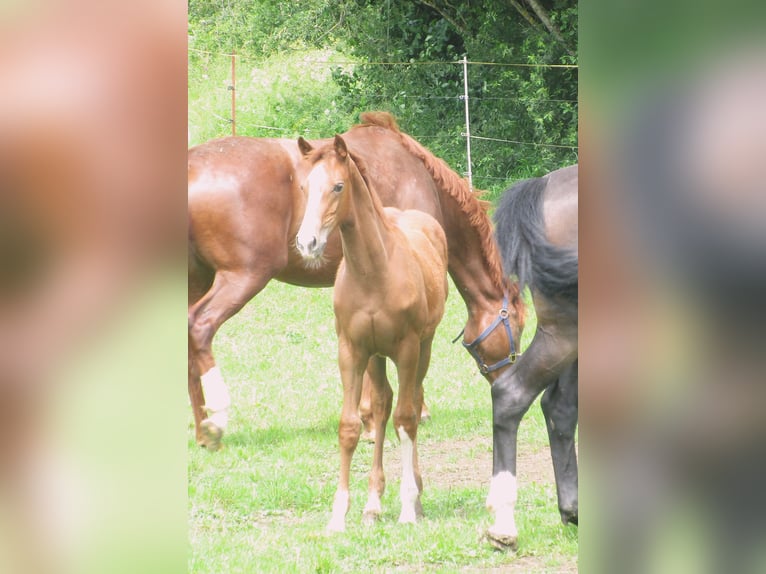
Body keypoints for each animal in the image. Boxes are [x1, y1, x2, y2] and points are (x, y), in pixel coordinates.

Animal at [190, 112, 528, 452]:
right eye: (518, 326)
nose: (511, 384)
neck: (419, 176)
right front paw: (399, 413)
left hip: (198, 280)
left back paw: (201, 430)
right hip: (242, 277)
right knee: (201, 326)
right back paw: (216, 420)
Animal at [294, 135, 450, 532]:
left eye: (338, 186)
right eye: (303, 187)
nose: (307, 243)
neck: (374, 272)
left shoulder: (407, 348)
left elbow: (406, 420)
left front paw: (409, 507)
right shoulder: (352, 350)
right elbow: (350, 426)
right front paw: (339, 515)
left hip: (423, 346)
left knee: (412, 402)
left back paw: (416, 494)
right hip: (377, 356)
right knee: (382, 405)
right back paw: (374, 503)